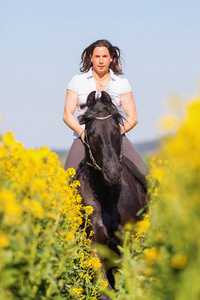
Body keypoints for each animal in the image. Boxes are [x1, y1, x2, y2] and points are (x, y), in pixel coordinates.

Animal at [76, 91, 148, 296]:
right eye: (91, 134)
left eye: (116, 130)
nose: (113, 173)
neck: (106, 197)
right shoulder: (95, 248)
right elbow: (106, 291)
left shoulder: (127, 245)